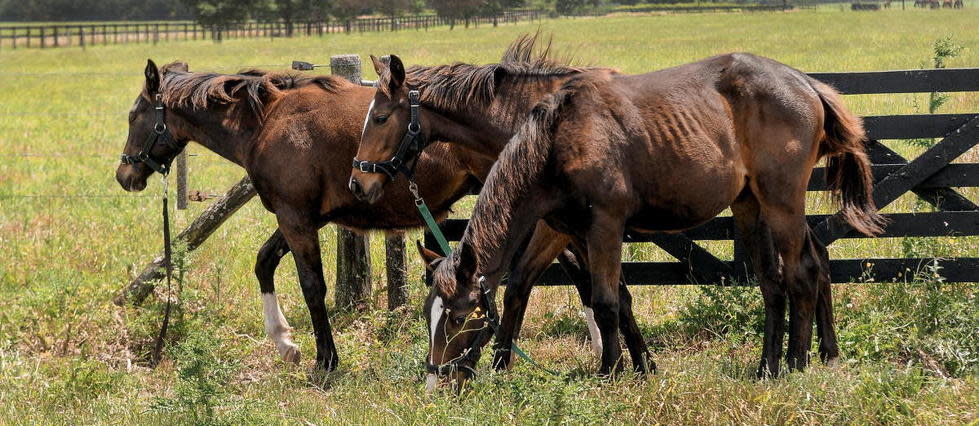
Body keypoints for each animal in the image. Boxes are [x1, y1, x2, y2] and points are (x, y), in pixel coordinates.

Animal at [118, 59, 616, 370]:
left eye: (133, 114)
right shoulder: (304, 217)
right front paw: (285, 343)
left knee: (571, 270)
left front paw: (324, 359)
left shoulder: (296, 218)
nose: (125, 175)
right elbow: (264, 263)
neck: (270, 122)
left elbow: (312, 287)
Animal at [354, 35, 888, 382]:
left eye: (379, 117)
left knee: (802, 271)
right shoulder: (567, 226)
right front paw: (641, 365)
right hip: (753, 204)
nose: (359, 181)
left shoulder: (591, 226)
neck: (546, 131)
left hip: (781, 200)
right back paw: (785, 363)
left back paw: (800, 363)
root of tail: (807, 83)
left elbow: (592, 297)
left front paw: (609, 372)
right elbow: (595, 294)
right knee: (790, 272)